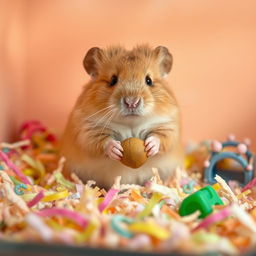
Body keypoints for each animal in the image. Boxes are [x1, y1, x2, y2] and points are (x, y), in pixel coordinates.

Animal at [60, 44, 183, 188]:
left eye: (149, 80)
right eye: (113, 80)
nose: (132, 102)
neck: (131, 123)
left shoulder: (169, 125)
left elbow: (161, 137)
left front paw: (150, 146)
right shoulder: (87, 130)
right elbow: (102, 142)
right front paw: (116, 149)